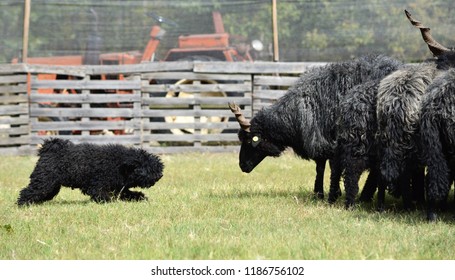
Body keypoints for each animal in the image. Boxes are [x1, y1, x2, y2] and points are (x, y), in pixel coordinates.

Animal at [16, 138, 165, 206]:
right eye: (150, 168)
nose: (160, 175)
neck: (120, 164)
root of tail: (48, 148)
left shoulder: (117, 187)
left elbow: (128, 194)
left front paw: (140, 197)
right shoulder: (96, 185)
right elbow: (102, 195)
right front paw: (108, 202)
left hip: (51, 185)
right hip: (44, 181)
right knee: (28, 192)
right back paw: (22, 204)